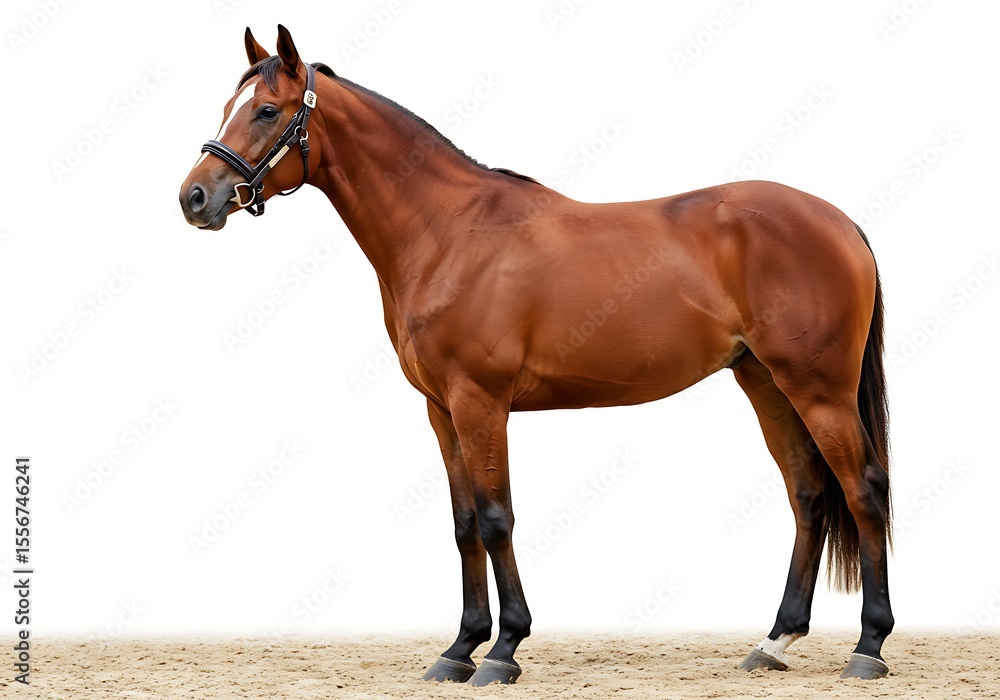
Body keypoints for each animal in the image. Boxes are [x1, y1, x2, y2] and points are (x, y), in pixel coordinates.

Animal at [179, 25, 894, 686]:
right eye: (228, 105)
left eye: (266, 110)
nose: (194, 198)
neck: (447, 232)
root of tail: (840, 222)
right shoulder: (442, 410)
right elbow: (465, 523)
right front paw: (458, 649)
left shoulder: (480, 402)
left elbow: (498, 519)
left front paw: (503, 650)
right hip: (766, 383)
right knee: (808, 494)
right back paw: (773, 642)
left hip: (819, 389)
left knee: (864, 489)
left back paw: (868, 648)